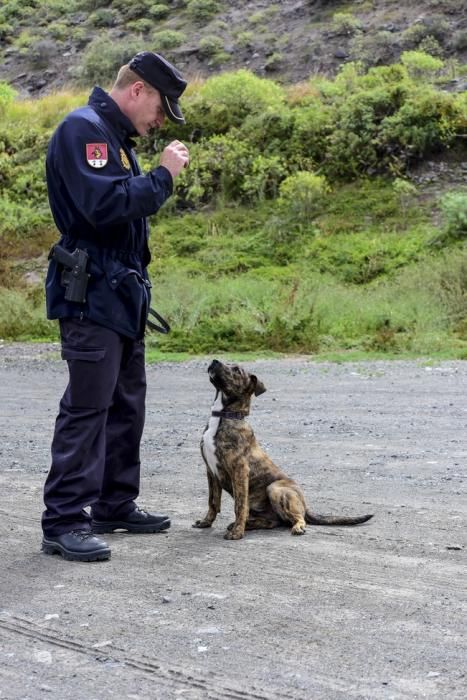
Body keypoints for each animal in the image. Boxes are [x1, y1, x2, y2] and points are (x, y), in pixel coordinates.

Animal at [193, 360, 372, 540]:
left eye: (237, 370)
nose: (214, 361)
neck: (223, 416)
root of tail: (304, 505)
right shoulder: (211, 471)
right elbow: (213, 501)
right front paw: (206, 522)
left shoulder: (240, 470)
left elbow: (240, 505)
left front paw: (237, 532)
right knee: (273, 522)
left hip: (275, 488)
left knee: (297, 518)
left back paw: (296, 527)